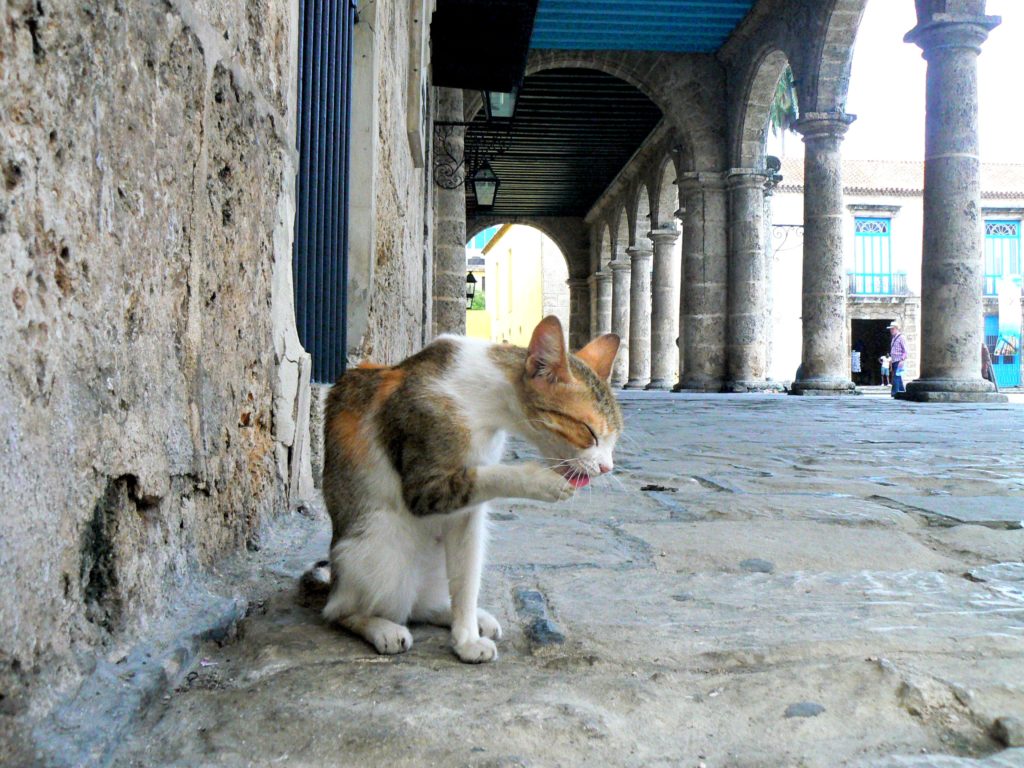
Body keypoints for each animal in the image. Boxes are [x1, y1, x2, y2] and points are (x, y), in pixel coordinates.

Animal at [317, 315, 622, 663]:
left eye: (615, 438)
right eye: (589, 432)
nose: (607, 467)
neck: (485, 403)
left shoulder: (467, 514)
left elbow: (466, 580)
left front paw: (466, 638)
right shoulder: (425, 486)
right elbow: (488, 475)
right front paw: (541, 481)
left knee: (420, 605)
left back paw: (464, 616)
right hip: (379, 546)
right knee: (341, 611)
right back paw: (380, 627)